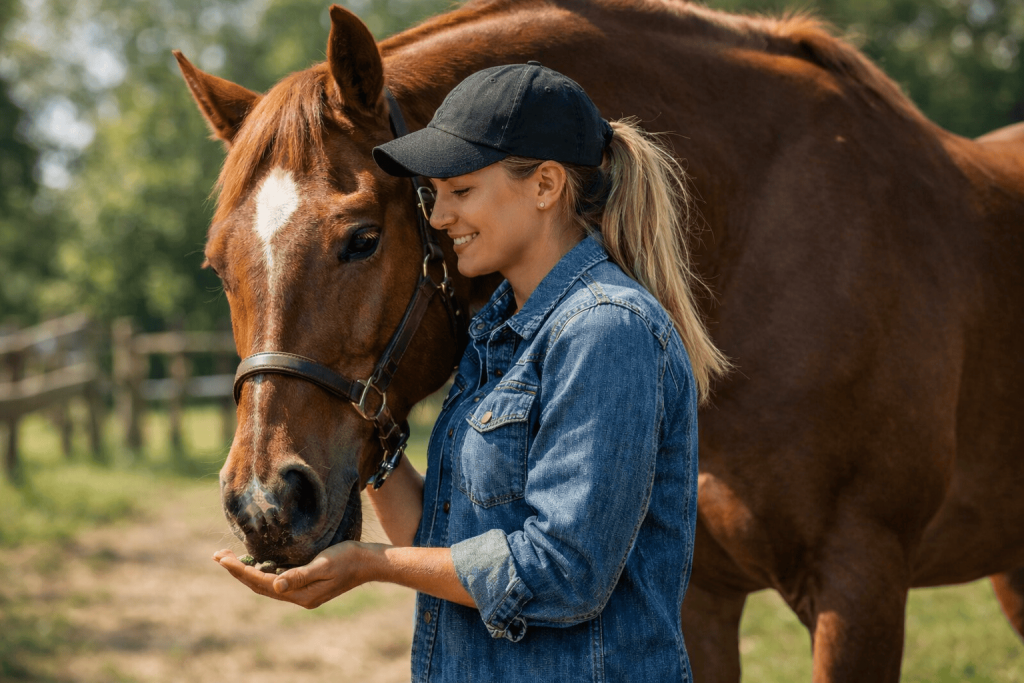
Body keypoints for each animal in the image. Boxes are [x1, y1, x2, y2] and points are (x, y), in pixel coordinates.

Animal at [174, 1, 1024, 680]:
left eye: (361, 238)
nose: (264, 502)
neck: (765, 240)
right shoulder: (698, 598)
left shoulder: (862, 583)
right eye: (217, 264)